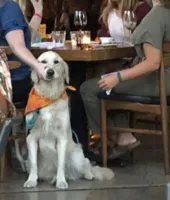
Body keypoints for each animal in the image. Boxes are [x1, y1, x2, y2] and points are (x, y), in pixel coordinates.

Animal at [23, 51, 114, 189]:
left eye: (56, 62)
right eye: (43, 62)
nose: (50, 72)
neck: (49, 95)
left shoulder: (62, 138)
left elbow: (61, 164)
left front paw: (61, 181)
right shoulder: (31, 137)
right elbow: (34, 164)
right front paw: (31, 180)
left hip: (77, 155)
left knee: (87, 164)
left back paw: (86, 175)